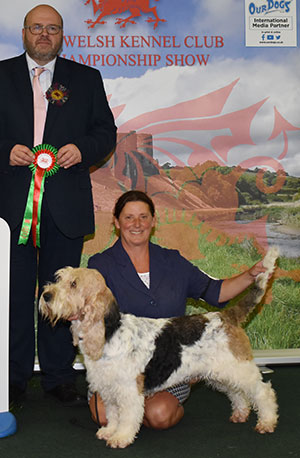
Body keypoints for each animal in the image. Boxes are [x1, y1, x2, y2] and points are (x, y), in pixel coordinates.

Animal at [39, 247, 278, 448]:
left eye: (74, 284)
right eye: (60, 279)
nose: (46, 296)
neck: (110, 332)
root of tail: (226, 315)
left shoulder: (128, 390)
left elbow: (127, 417)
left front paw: (121, 438)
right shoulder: (108, 390)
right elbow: (113, 415)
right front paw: (108, 431)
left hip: (239, 368)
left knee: (263, 392)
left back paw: (267, 422)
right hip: (220, 373)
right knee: (237, 392)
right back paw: (240, 413)